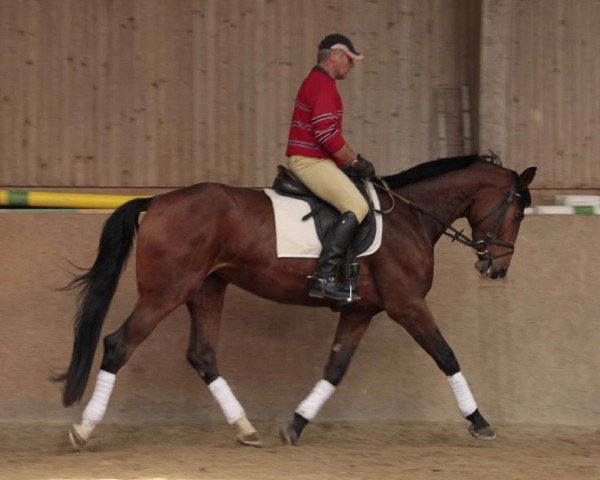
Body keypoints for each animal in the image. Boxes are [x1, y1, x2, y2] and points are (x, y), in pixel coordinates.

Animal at [56, 155, 536, 450]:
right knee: (119, 345)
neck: (411, 216)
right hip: (165, 292)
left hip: (207, 289)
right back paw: (83, 429)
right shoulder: (408, 305)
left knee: (203, 355)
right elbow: (446, 356)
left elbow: (335, 369)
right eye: (516, 214)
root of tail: (157, 200)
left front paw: (295, 424)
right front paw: (479, 422)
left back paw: (246, 429)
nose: (496, 267)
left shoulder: (360, 311)